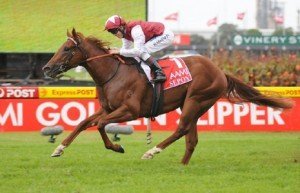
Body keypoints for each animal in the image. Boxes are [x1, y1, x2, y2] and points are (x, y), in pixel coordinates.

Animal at [42, 28, 292, 164]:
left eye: (67, 49)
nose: (47, 68)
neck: (113, 73)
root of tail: (220, 71)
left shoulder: (129, 110)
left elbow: (101, 124)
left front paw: (117, 147)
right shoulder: (108, 108)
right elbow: (83, 122)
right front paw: (58, 149)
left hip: (196, 99)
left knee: (181, 130)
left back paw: (151, 152)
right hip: (193, 105)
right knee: (191, 138)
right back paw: (182, 167)